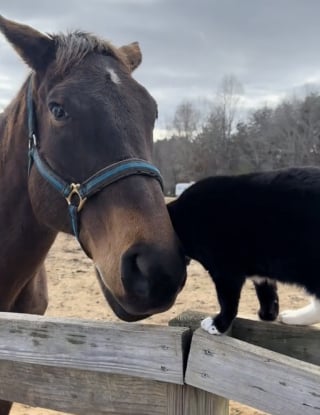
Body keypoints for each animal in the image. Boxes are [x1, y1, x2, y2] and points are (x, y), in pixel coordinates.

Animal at [168, 168, 320, 334]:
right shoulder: (260, 270)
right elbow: (267, 291)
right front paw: (268, 314)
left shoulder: (226, 269)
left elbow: (227, 300)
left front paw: (218, 325)